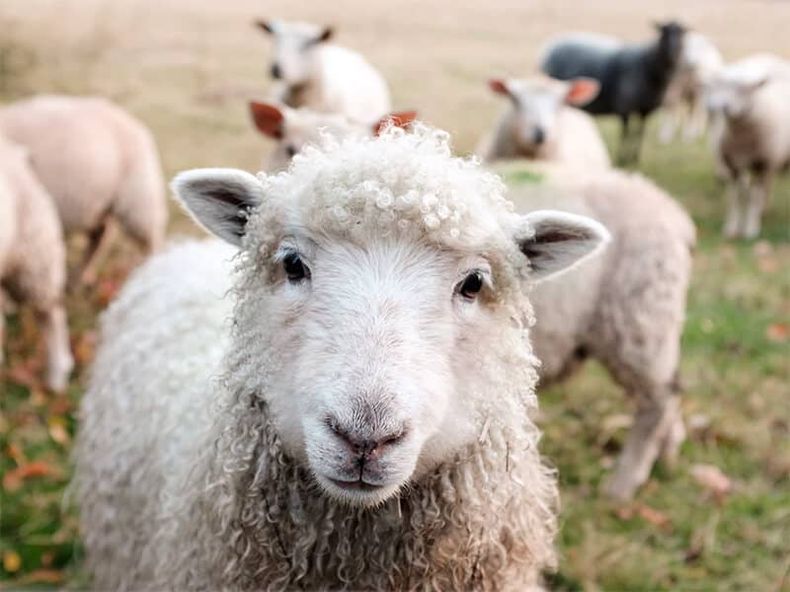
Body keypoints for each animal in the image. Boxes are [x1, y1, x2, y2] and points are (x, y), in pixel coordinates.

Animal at [0, 95, 167, 285]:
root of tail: (136, 124)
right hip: (100, 204)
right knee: (100, 237)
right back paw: (82, 276)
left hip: (138, 197)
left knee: (150, 239)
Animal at [540, 21, 687, 164]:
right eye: (664, 32)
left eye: (682, 34)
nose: (674, 51)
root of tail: (550, 46)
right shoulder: (625, 107)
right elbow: (626, 133)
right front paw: (622, 158)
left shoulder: (645, 110)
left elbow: (639, 133)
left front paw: (635, 158)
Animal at [706, 54, 790, 239]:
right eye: (721, 86)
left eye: (744, 89)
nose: (722, 107)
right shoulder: (733, 165)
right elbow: (735, 197)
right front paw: (731, 228)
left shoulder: (762, 163)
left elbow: (754, 196)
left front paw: (751, 229)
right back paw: (764, 210)